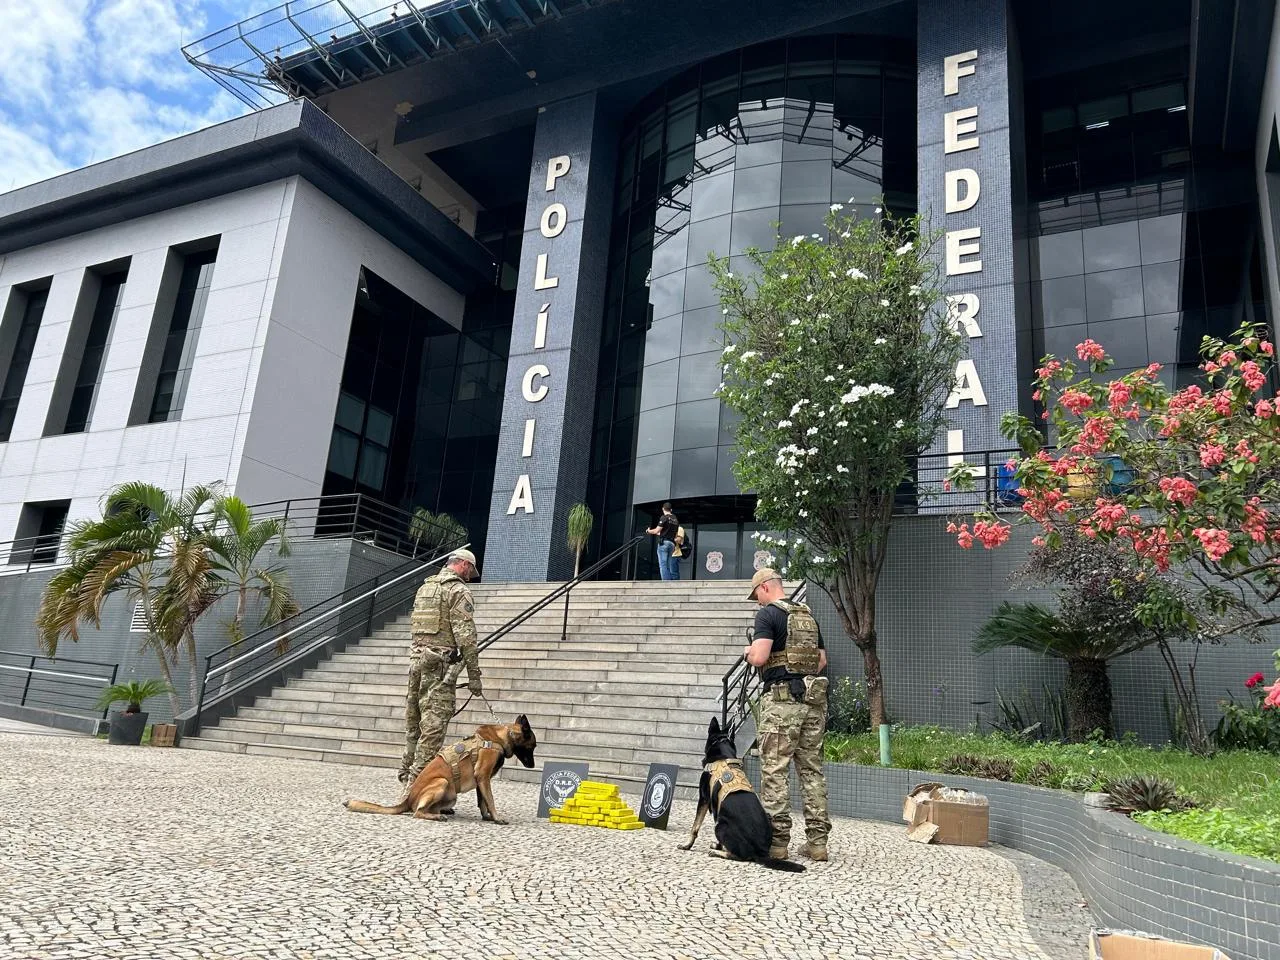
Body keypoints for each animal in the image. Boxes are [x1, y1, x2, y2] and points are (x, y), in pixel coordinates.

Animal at [340, 716, 535, 824]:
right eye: (533, 746)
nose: (533, 766)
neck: (503, 736)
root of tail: (407, 800)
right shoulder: (483, 777)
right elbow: (491, 800)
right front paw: (496, 818)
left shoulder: (481, 780)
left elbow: (483, 801)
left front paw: (487, 817)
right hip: (442, 781)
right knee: (417, 813)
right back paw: (436, 816)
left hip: (451, 795)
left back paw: (440, 813)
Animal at [680, 721, 798, 870]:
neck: (722, 754)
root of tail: (760, 852)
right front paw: (718, 846)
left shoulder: (704, 799)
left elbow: (695, 827)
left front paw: (687, 845)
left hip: (720, 826)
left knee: (741, 857)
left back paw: (717, 853)